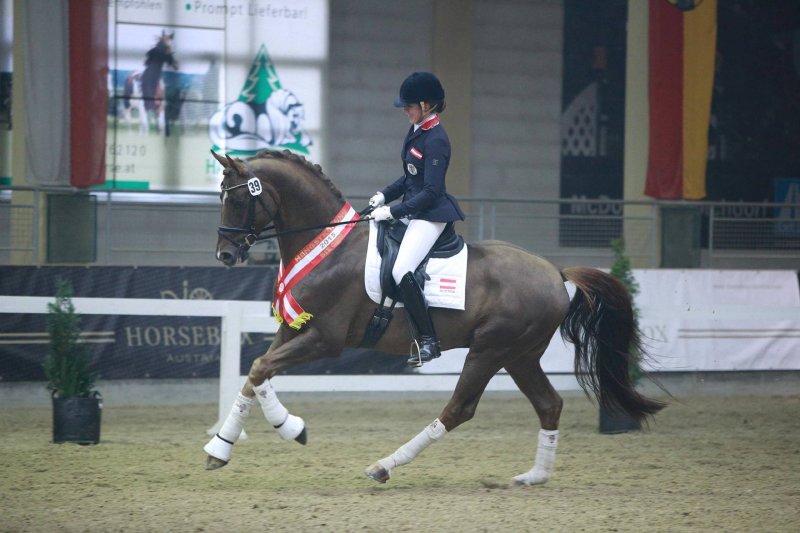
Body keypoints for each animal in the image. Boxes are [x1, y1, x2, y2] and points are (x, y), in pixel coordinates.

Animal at [203, 148, 664, 484]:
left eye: (238, 198)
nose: (224, 255)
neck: (327, 246)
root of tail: (555, 271)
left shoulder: (326, 339)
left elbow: (260, 368)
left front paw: (264, 435)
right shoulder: (293, 328)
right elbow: (258, 372)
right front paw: (242, 441)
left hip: (490, 351)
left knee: (459, 409)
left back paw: (384, 465)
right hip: (520, 355)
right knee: (549, 405)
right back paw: (534, 476)